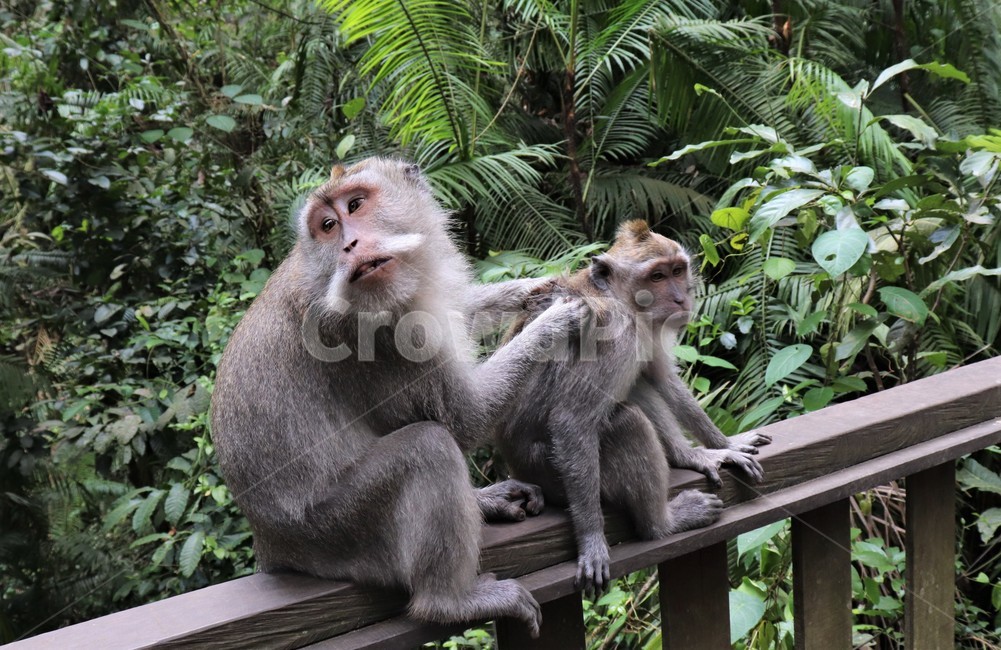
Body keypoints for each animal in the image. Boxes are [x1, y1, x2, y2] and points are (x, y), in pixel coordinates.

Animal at [210, 158, 585, 636]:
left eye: (355, 205)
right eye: (328, 226)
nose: (349, 244)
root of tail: (272, 545)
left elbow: (460, 311)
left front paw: (536, 288)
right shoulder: (376, 335)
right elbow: (464, 419)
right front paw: (555, 322)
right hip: (340, 532)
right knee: (428, 447)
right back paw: (449, 602)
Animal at [494, 220, 770, 594]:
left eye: (677, 271)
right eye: (656, 277)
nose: (681, 298)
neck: (622, 302)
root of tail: (515, 466)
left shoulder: (643, 331)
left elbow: (660, 378)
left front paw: (721, 446)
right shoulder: (616, 336)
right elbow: (571, 421)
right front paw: (592, 539)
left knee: (636, 388)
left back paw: (684, 456)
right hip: (547, 471)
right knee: (625, 422)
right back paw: (663, 524)